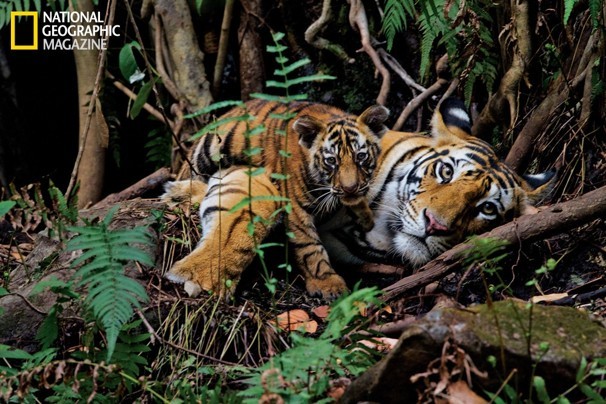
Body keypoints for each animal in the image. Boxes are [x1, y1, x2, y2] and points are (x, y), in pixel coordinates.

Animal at [163, 99, 390, 298]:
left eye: (361, 156)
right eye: (331, 161)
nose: (350, 188)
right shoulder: (297, 208)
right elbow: (309, 248)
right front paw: (328, 284)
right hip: (206, 151)